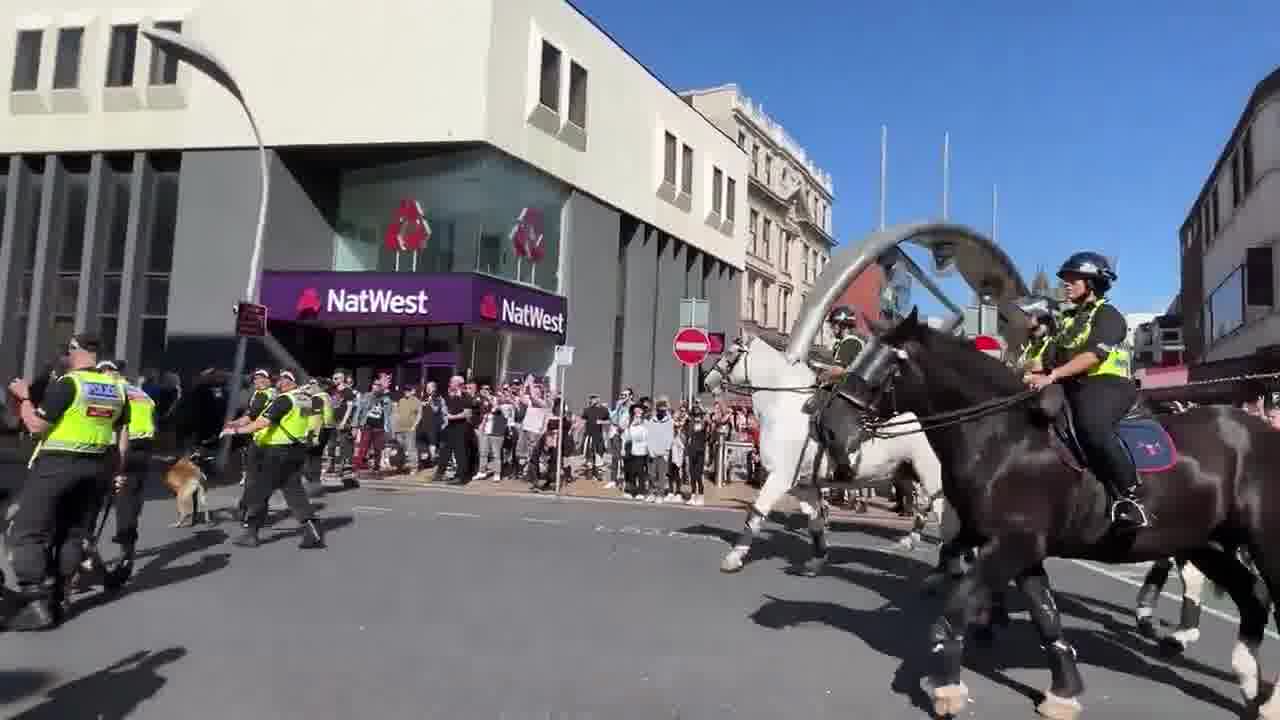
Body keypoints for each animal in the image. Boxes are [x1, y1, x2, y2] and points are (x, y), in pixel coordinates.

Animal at [696, 333, 957, 573]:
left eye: (731, 354)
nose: (706, 382)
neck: (786, 405)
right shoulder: (804, 484)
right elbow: (815, 520)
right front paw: (818, 558)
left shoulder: (780, 477)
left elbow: (756, 513)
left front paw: (733, 558)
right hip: (910, 473)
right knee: (927, 508)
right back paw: (912, 543)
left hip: (930, 475)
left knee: (941, 515)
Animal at [808, 308, 1280, 717]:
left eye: (890, 363)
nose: (828, 428)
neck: (1003, 437)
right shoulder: (1021, 548)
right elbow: (1046, 616)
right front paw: (1063, 691)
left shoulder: (1011, 544)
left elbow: (958, 606)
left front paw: (947, 687)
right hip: (1206, 543)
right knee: (1254, 597)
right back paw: (1252, 684)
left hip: (1261, 541)